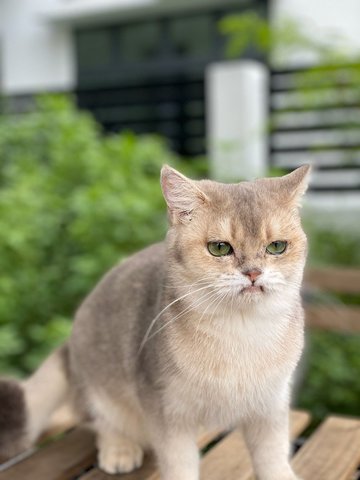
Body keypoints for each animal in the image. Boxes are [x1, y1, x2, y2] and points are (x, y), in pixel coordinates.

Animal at [0, 163, 310, 478]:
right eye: (220, 248)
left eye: (277, 247)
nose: (253, 273)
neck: (241, 332)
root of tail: (69, 345)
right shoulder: (167, 411)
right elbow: (179, 464)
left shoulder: (271, 406)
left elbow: (272, 456)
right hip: (97, 383)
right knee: (103, 421)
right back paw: (119, 450)